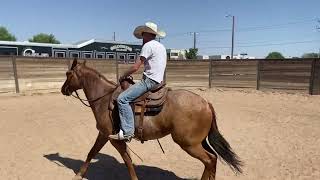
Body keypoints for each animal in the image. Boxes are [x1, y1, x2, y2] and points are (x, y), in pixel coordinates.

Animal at [60, 58, 242, 179]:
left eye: (68, 73)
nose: (63, 89)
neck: (104, 99)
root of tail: (206, 103)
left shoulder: (111, 138)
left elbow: (124, 159)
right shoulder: (105, 135)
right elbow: (96, 153)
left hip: (189, 143)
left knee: (209, 160)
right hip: (199, 141)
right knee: (213, 159)